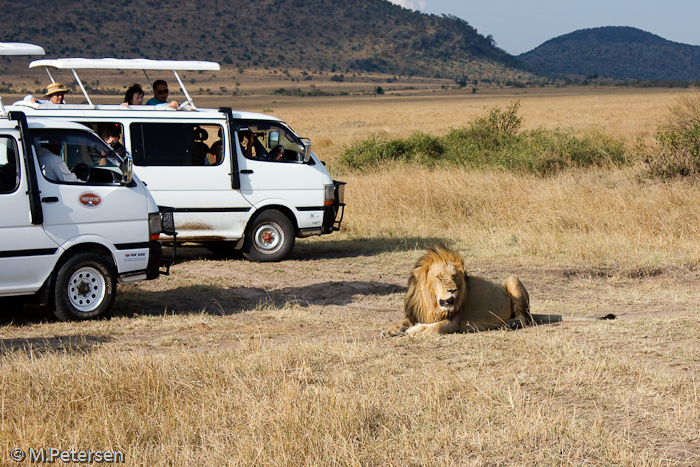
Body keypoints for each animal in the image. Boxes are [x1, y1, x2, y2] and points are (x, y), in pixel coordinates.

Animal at [382, 245, 612, 336]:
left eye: (455, 276)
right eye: (440, 277)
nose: (453, 290)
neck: (430, 302)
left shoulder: (454, 322)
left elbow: (433, 328)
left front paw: (413, 331)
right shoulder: (416, 311)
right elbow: (404, 321)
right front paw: (392, 330)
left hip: (512, 280)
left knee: (524, 317)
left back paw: (513, 322)